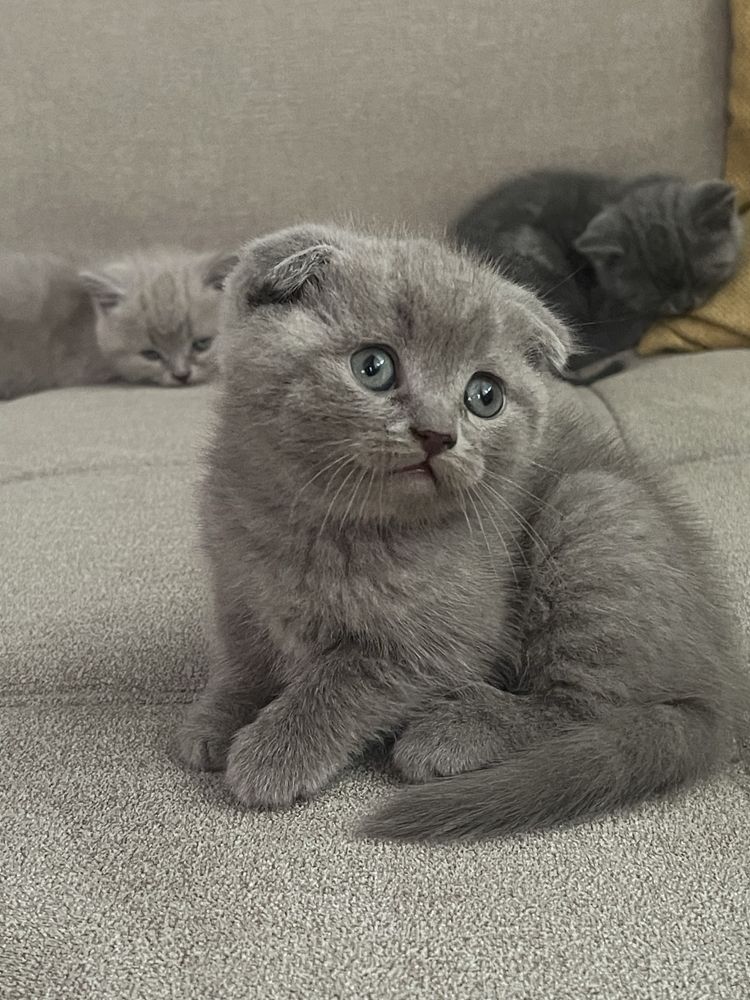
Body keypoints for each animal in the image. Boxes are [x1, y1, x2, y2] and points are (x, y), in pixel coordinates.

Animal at [178, 223, 750, 840]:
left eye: (485, 396)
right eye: (373, 366)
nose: (437, 433)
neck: (314, 525)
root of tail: (720, 695)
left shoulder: (452, 635)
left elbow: (350, 679)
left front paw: (277, 750)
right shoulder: (236, 585)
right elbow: (242, 655)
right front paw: (218, 716)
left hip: (592, 511)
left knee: (587, 707)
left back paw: (455, 730)